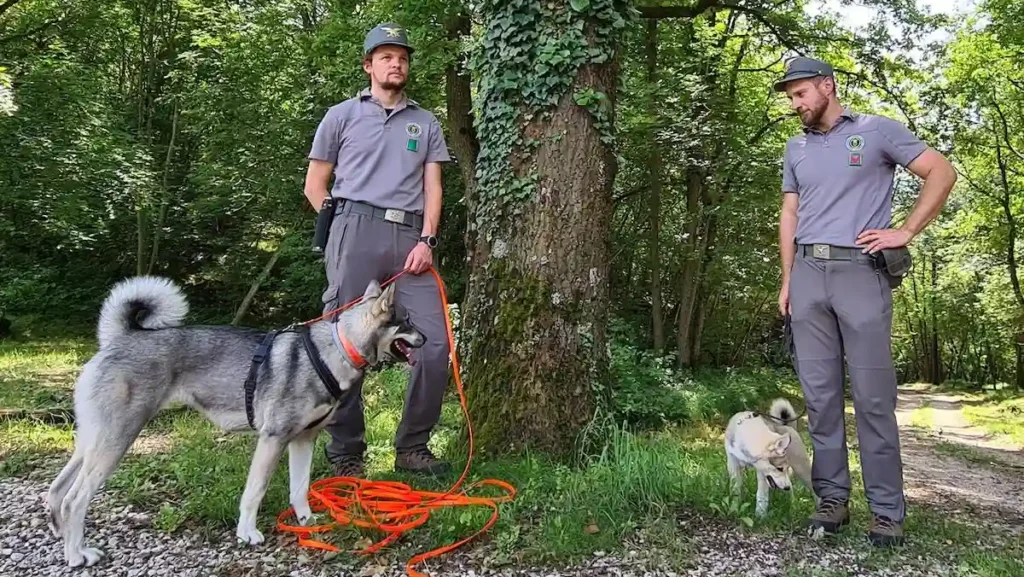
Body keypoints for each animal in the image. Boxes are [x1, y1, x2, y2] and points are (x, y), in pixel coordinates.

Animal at [45, 276, 423, 569]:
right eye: (405, 321)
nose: (426, 338)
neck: (337, 350)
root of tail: (119, 337)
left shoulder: (304, 440)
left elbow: (299, 488)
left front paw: (306, 522)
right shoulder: (272, 439)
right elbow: (255, 491)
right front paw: (247, 533)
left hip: (92, 442)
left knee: (56, 490)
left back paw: (64, 538)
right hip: (116, 441)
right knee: (75, 499)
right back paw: (77, 555)